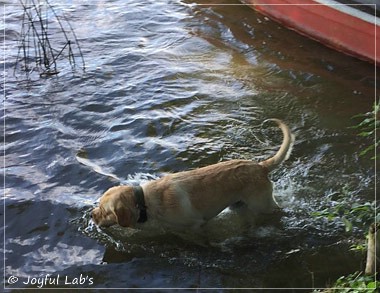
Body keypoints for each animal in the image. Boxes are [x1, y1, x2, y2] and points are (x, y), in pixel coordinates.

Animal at [91, 118, 294, 230]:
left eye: (104, 211)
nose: (92, 215)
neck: (144, 202)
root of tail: (260, 166)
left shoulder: (195, 225)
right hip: (239, 205)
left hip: (263, 205)